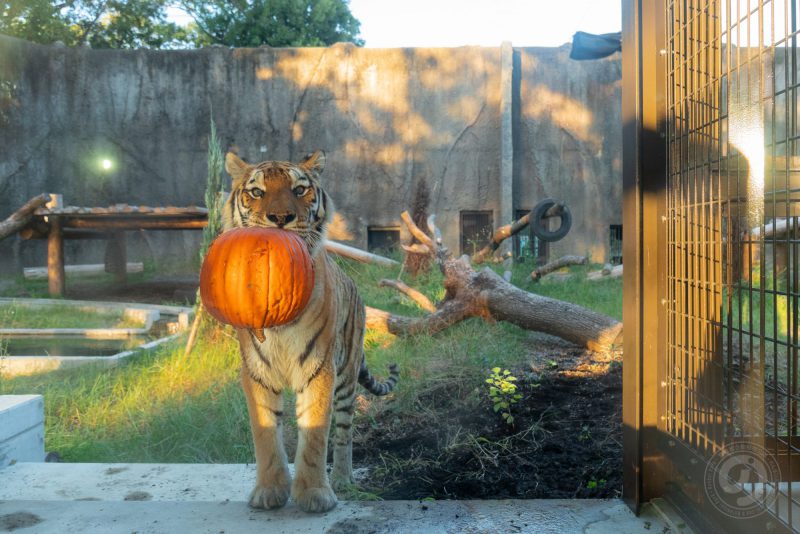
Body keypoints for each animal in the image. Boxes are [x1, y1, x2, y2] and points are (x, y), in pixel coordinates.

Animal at [220, 150, 398, 516]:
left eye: (299, 190)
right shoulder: (256, 372)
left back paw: (342, 479)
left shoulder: (319, 368)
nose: (280, 218)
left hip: (346, 376)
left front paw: (314, 494)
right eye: (256, 192)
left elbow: (315, 433)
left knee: (343, 431)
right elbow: (265, 434)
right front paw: (269, 492)